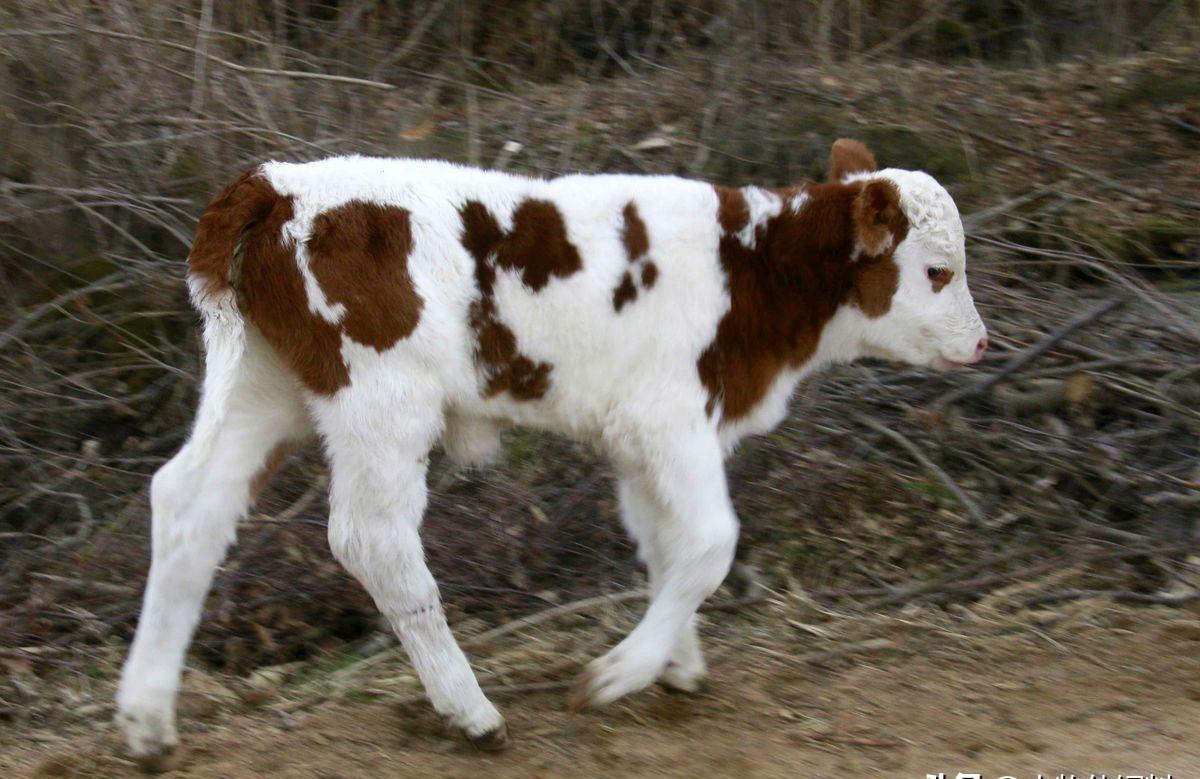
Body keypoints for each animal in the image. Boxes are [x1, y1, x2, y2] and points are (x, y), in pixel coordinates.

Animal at [117, 136, 988, 763]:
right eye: (937, 271)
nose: (982, 344)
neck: (751, 267)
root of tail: (276, 184)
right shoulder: (672, 417)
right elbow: (711, 542)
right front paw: (617, 673)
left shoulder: (637, 436)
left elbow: (664, 545)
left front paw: (675, 663)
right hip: (382, 401)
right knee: (374, 542)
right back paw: (471, 712)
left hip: (263, 388)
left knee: (187, 505)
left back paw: (146, 719)